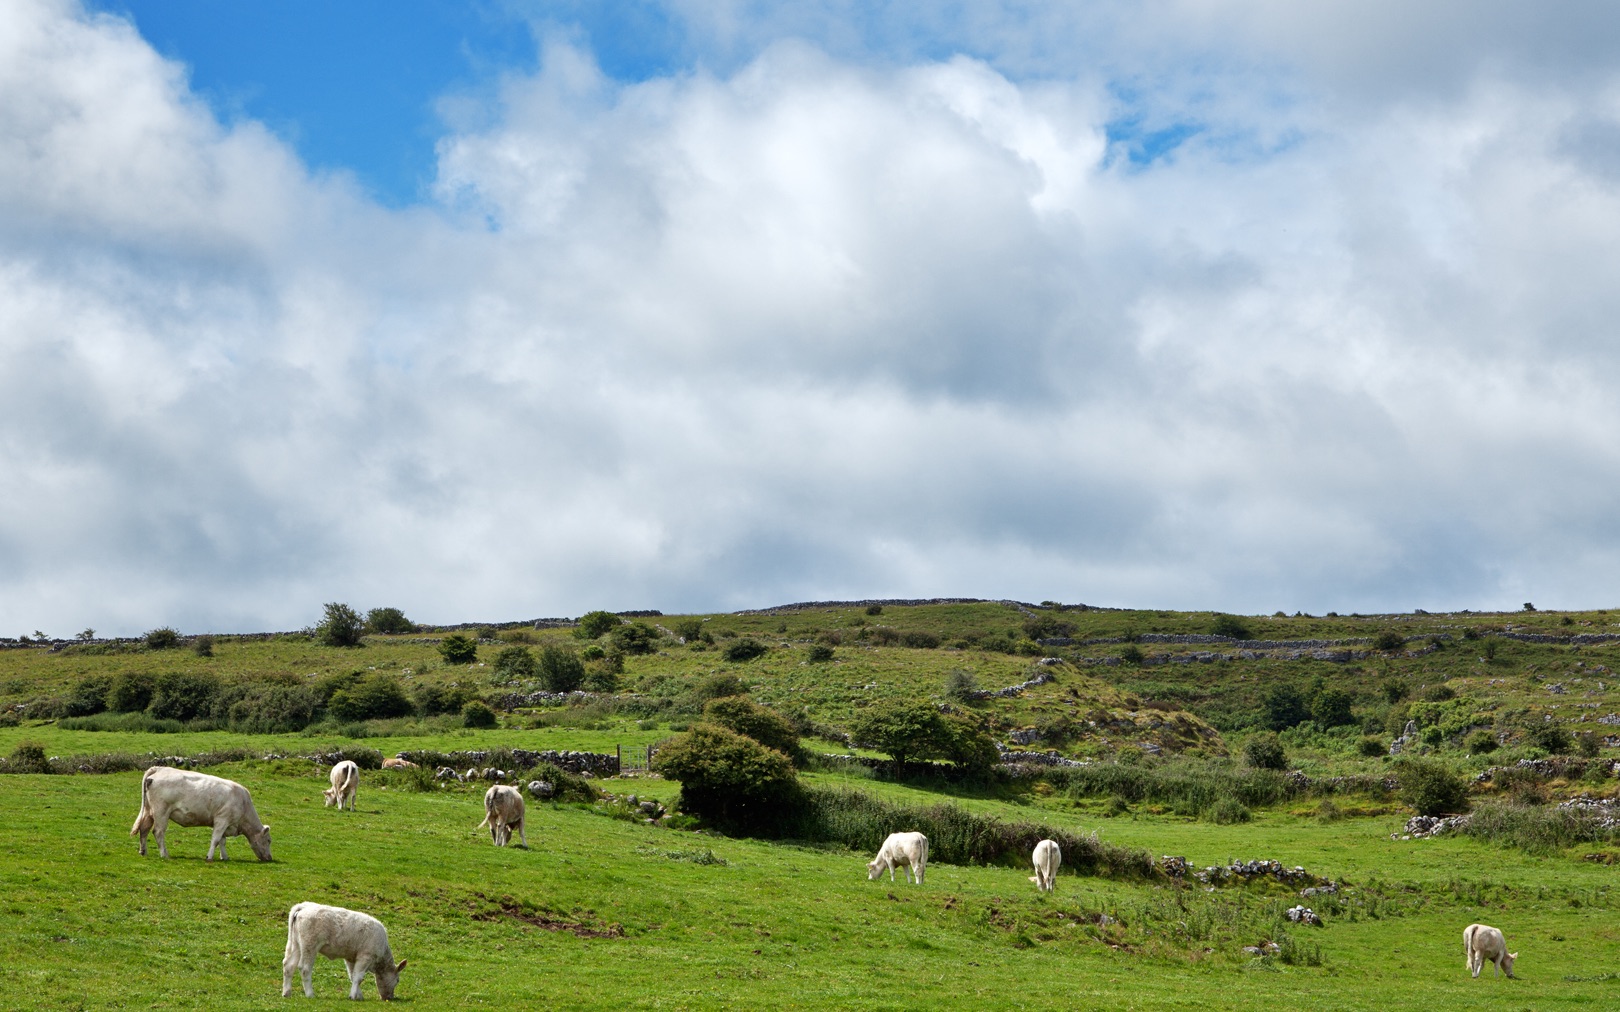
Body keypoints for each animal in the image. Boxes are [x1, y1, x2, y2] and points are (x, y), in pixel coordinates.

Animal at [129, 764, 272, 861]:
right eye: (269, 840)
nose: (270, 858)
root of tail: (159, 769)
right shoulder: (222, 820)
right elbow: (216, 840)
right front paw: (209, 857)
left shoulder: (223, 823)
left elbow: (222, 841)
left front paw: (224, 857)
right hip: (161, 812)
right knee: (158, 832)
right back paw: (164, 854)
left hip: (149, 811)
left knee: (144, 828)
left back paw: (143, 851)